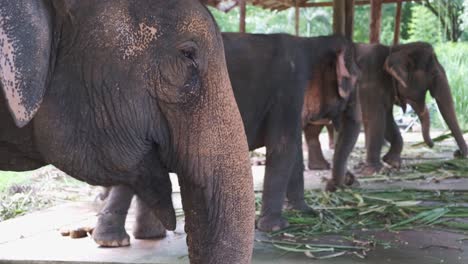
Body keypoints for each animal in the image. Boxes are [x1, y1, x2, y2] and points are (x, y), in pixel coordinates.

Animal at [91, 32, 360, 244]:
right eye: (354, 80)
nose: (339, 183)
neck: (312, 42)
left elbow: (292, 148)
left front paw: (304, 212)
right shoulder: (289, 89)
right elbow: (283, 146)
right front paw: (276, 227)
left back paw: (149, 236)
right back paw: (113, 241)